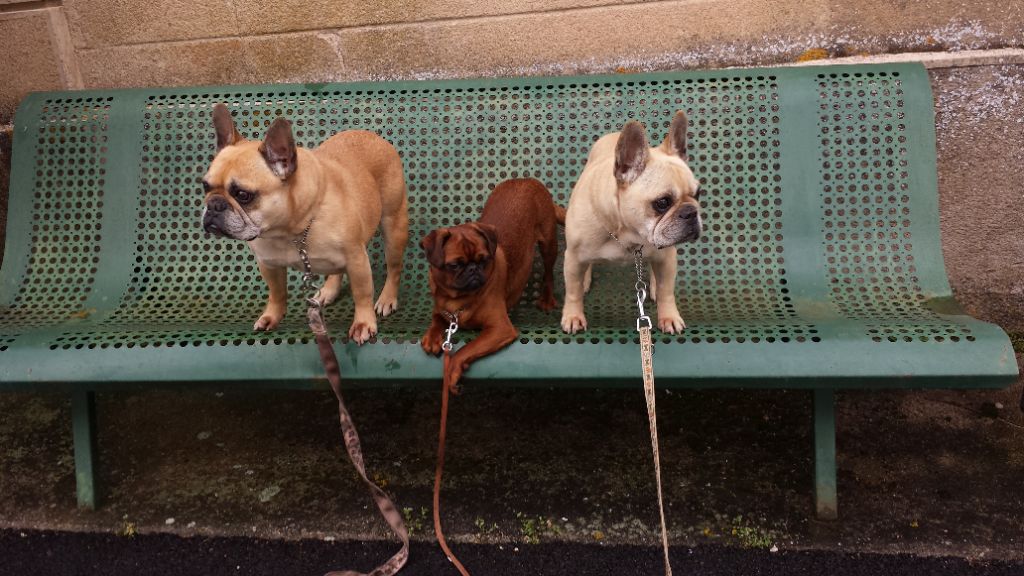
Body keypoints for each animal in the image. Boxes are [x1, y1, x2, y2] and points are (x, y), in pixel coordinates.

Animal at [421, 177, 569, 387]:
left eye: (484, 260)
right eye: (455, 265)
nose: (473, 269)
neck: (458, 299)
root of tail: (526, 179)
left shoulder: (500, 329)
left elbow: (467, 348)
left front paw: (453, 369)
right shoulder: (442, 310)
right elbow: (436, 320)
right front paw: (432, 337)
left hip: (548, 243)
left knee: (548, 273)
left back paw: (547, 298)